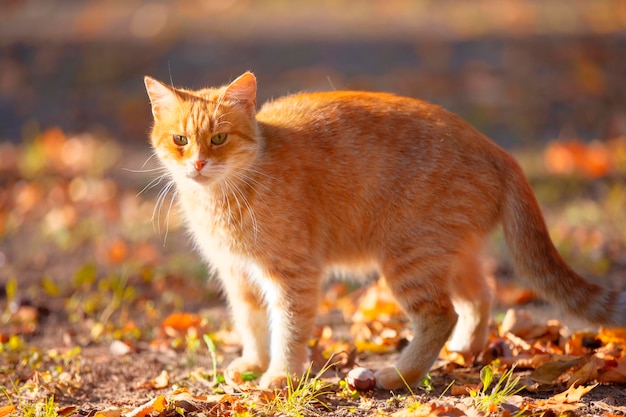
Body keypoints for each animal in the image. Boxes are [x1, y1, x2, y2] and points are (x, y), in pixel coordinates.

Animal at [144, 71, 624, 390]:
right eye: (181, 140)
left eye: (219, 139)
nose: (198, 163)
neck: (223, 199)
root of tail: (500, 151)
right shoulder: (238, 275)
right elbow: (252, 322)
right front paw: (252, 361)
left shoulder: (293, 276)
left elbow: (289, 330)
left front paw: (279, 376)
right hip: (449, 257)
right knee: (480, 298)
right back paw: (464, 351)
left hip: (408, 260)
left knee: (441, 315)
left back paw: (398, 374)